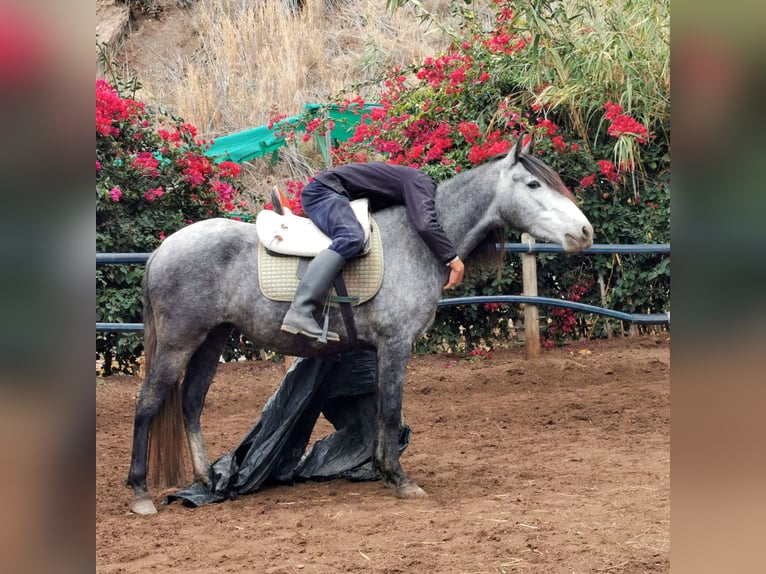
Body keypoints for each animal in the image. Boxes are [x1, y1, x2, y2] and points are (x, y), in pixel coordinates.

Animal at [127, 135, 594, 514]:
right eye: (533, 185)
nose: (585, 231)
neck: (417, 240)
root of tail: (163, 249)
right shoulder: (396, 345)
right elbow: (388, 410)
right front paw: (398, 479)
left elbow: (380, 411)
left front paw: (381, 469)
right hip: (178, 342)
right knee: (149, 403)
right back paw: (140, 493)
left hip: (212, 339)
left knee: (191, 402)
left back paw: (209, 480)